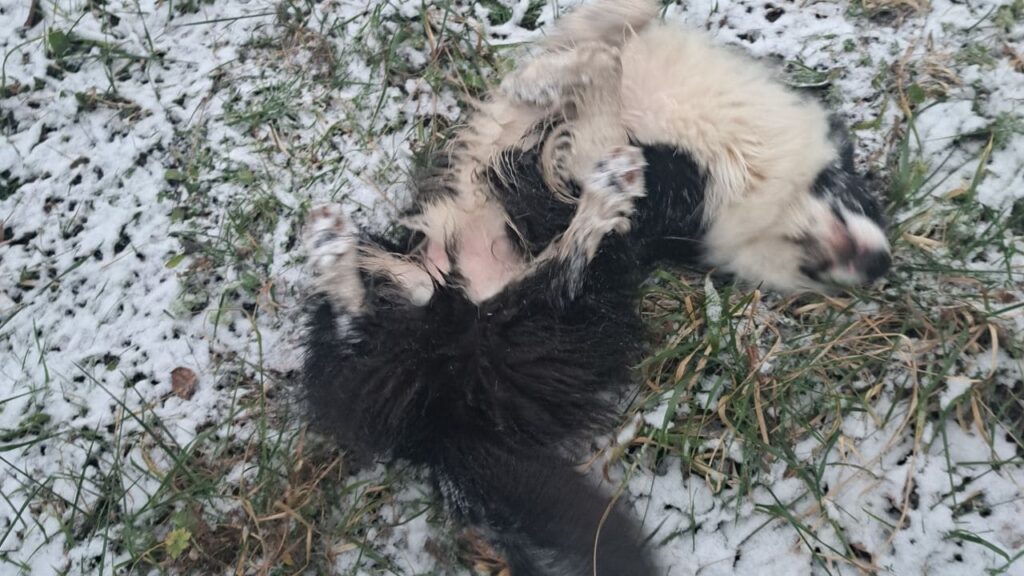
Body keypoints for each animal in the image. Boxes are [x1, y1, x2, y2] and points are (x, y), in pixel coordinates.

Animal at [299, 2, 892, 569]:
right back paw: (333, 251)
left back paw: (604, 200)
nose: (881, 265)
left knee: (556, 274)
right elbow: (616, 28)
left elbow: (606, 78)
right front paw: (552, 72)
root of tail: (442, 409)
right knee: (355, 331)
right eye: (865, 199)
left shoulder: (653, 182)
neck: (752, 165)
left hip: (546, 318)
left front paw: (555, 85)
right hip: (402, 282)